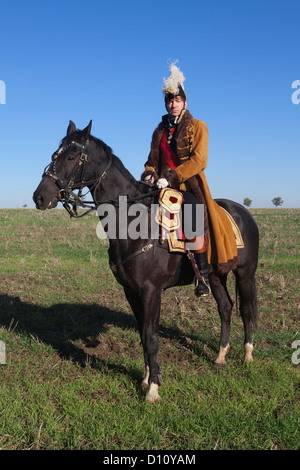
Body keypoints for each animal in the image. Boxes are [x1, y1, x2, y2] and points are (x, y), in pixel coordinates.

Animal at [32, 122, 258, 404]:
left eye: (72, 157)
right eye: (55, 155)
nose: (39, 197)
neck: (133, 223)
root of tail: (244, 212)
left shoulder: (152, 291)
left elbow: (151, 337)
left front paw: (153, 389)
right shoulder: (131, 291)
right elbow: (142, 335)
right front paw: (147, 378)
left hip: (245, 274)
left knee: (246, 310)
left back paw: (247, 355)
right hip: (216, 276)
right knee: (225, 308)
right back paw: (220, 356)